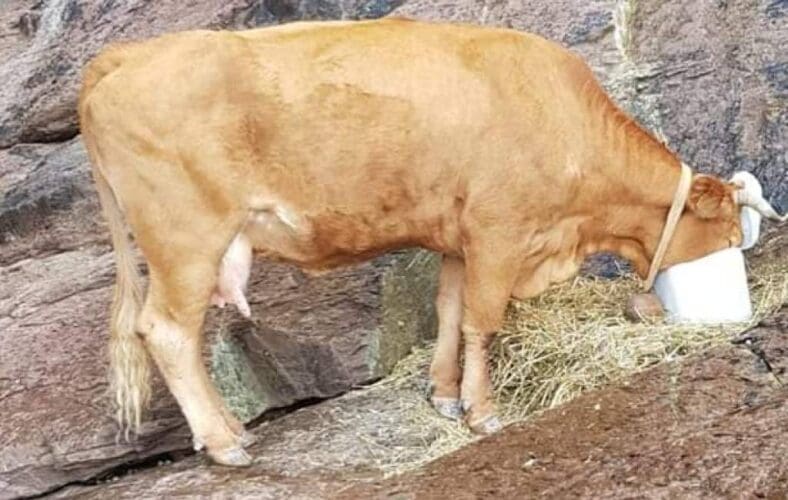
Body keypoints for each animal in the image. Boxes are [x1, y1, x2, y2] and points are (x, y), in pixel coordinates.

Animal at [77, 18, 785, 466]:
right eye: (727, 232)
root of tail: (128, 56)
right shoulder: (499, 230)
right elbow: (482, 321)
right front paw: (482, 410)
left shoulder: (458, 236)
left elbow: (448, 312)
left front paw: (444, 395)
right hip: (185, 238)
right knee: (167, 331)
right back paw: (226, 443)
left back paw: (225, 429)